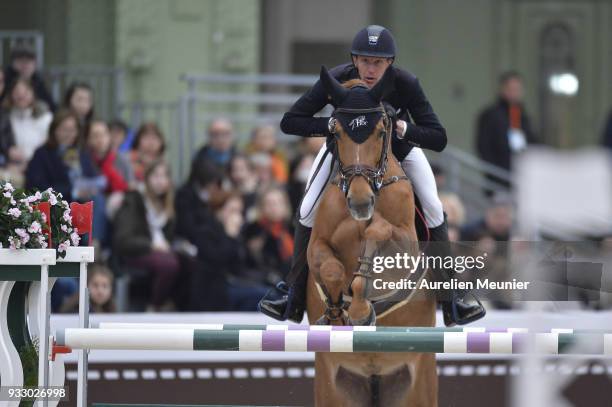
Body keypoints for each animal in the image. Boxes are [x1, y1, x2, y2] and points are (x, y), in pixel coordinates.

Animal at [304, 67, 438, 407]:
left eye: (380, 131)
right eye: (336, 133)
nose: (360, 203)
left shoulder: (406, 248)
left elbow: (379, 231)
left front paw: (361, 311)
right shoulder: (317, 245)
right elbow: (331, 268)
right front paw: (337, 311)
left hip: (417, 381)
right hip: (334, 386)